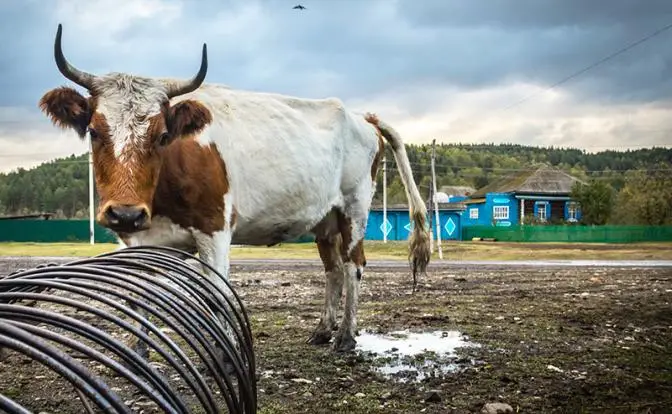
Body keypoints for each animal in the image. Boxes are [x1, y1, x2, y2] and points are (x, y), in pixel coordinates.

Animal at [39, 23, 434, 352]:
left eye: (163, 135)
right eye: (93, 131)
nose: (125, 213)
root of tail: (360, 115)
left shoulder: (214, 230)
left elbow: (216, 295)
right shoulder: (136, 239)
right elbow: (140, 296)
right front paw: (140, 354)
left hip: (354, 207)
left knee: (354, 265)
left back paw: (346, 337)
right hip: (325, 219)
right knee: (333, 268)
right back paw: (323, 329)